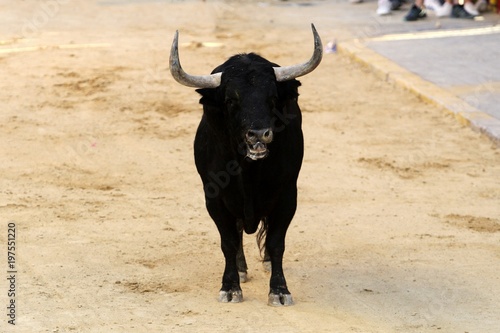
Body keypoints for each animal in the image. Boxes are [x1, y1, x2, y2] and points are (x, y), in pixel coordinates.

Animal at [170, 24, 322, 304]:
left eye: (272, 98)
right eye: (231, 100)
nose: (259, 134)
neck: (250, 173)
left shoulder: (288, 196)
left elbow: (276, 242)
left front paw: (280, 290)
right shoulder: (214, 199)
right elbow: (229, 241)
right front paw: (231, 286)